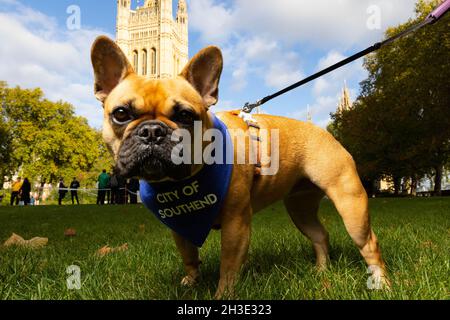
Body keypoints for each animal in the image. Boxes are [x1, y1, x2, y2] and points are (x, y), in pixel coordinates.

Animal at [90, 36, 386, 298]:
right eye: (120, 114)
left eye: (185, 115)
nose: (152, 131)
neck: (183, 182)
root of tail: (325, 132)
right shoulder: (179, 225)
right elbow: (189, 254)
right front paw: (191, 281)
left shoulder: (236, 223)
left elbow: (229, 266)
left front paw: (223, 294)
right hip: (300, 208)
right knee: (320, 235)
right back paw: (322, 272)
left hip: (350, 204)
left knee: (369, 243)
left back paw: (381, 283)